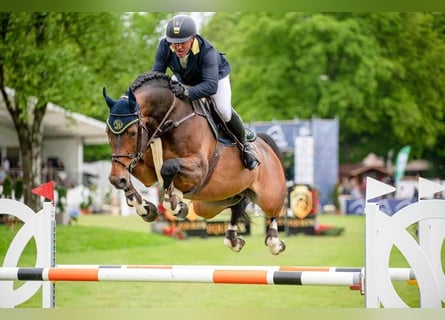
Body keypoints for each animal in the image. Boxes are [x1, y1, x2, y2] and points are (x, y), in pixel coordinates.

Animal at [103, 70, 286, 255]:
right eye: (107, 133)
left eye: (132, 133)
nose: (115, 179)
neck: (170, 121)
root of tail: (264, 145)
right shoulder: (147, 172)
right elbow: (134, 172)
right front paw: (145, 208)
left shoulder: (199, 169)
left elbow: (168, 167)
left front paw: (175, 204)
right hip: (209, 204)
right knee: (238, 203)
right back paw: (234, 240)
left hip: (270, 195)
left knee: (274, 211)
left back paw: (275, 242)